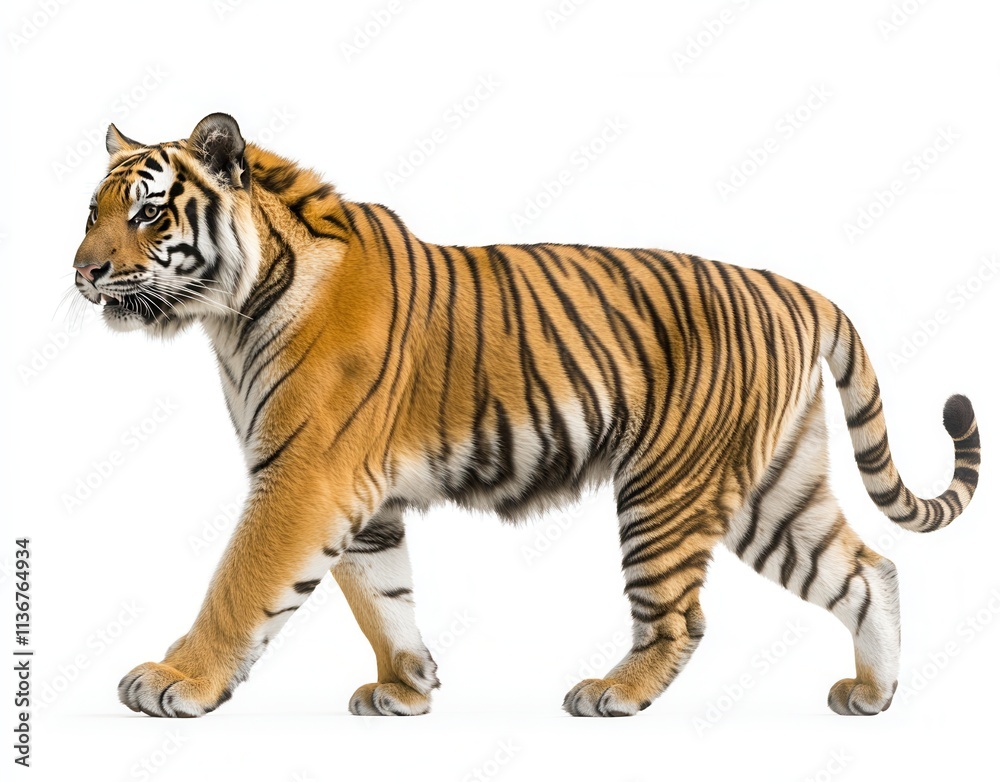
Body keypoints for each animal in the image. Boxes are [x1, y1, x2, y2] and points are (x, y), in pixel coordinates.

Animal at [71, 113, 981, 719]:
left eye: (148, 212)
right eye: (93, 212)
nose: (82, 272)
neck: (234, 309)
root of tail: (795, 288)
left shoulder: (301, 477)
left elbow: (241, 583)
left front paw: (177, 680)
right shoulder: (360, 497)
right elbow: (382, 594)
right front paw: (407, 685)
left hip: (669, 488)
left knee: (681, 615)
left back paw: (614, 691)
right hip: (773, 490)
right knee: (868, 571)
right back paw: (873, 693)